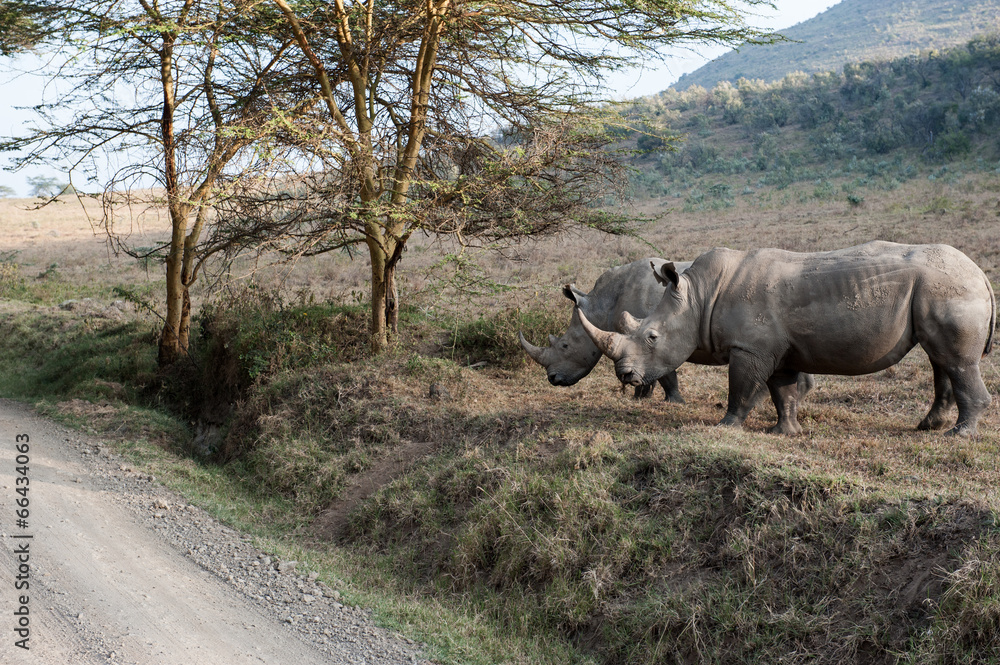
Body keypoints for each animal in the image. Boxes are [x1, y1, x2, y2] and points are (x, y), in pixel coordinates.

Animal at [519, 257, 814, 403]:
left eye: (565, 345)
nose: (552, 379)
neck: (600, 304)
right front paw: (640, 398)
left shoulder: (658, 338)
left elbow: (665, 374)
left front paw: (672, 402)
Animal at [578, 241, 995, 436]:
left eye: (652, 336)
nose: (625, 376)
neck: (698, 296)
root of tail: (980, 273)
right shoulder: (779, 349)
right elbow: (784, 392)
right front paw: (785, 431)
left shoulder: (750, 348)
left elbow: (741, 388)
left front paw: (725, 427)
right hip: (941, 289)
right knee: (940, 358)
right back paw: (929, 426)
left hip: (951, 289)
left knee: (956, 361)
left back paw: (958, 434)